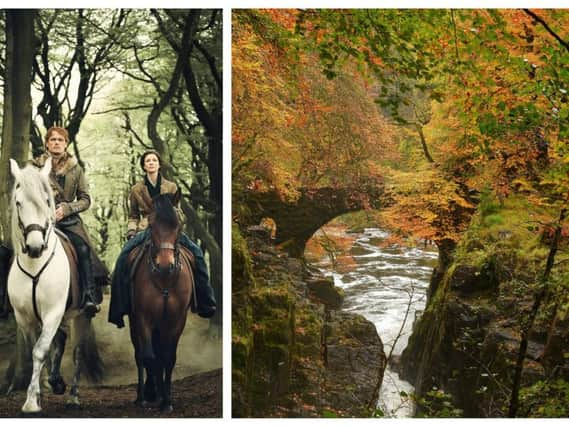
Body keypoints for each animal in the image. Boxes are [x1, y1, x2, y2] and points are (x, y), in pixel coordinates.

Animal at [7, 158, 102, 414]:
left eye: (47, 201)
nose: (35, 247)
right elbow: (39, 351)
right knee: (59, 342)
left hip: (81, 316)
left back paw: (73, 397)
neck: (34, 264)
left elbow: (40, 351)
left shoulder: (53, 312)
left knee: (77, 352)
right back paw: (57, 382)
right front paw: (40, 393)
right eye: (18, 202)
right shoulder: (25, 318)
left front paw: (32, 402)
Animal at [126, 193, 193, 412]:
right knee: (140, 354)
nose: (165, 265)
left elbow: (168, 358)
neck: (164, 280)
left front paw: (167, 401)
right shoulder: (143, 318)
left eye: (178, 225)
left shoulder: (177, 319)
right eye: (151, 225)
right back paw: (142, 395)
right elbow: (150, 357)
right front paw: (151, 393)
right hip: (135, 323)